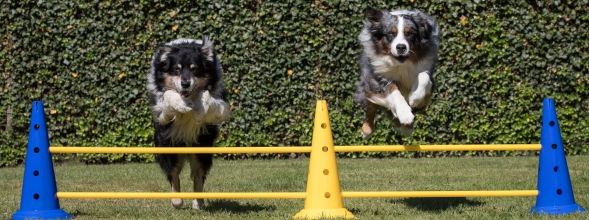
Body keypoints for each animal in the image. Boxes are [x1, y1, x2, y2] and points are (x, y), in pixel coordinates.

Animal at [147, 36, 230, 210]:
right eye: (176, 69)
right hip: (168, 145)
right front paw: (181, 104)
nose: (185, 84)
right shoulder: (161, 113)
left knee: (198, 174)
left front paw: (198, 110)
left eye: (195, 69)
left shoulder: (221, 104)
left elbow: (206, 94)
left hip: (202, 146)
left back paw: (198, 202)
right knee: (174, 174)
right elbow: (169, 94)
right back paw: (177, 201)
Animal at [352, 6, 438, 139]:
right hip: (368, 82)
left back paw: (408, 128)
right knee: (371, 106)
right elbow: (393, 91)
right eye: (391, 34)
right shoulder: (378, 79)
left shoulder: (428, 83)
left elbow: (423, 76)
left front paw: (415, 96)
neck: (401, 64)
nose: (401, 47)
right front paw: (404, 113)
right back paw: (366, 130)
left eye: (410, 33)